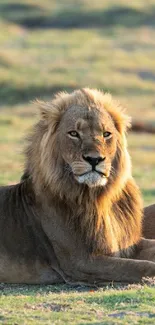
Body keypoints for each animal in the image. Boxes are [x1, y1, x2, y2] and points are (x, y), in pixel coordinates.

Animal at [0, 86, 155, 284]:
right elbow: (141, 266)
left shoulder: (128, 244)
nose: (94, 159)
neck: (98, 199)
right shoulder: (82, 261)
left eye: (106, 134)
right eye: (74, 133)